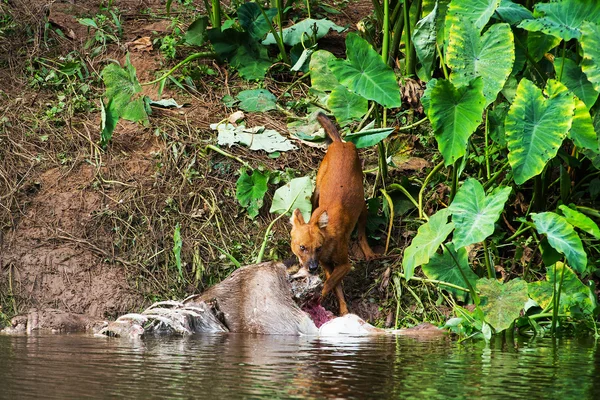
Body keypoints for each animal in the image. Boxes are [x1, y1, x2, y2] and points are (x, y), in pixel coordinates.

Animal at [290, 112, 376, 316]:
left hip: (362, 204)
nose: (312, 268)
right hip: (316, 190)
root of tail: (341, 143)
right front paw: (342, 308)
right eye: (302, 247)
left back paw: (368, 251)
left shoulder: (344, 264)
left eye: (318, 247)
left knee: (362, 229)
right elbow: (336, 286)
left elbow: (329, 283)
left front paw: (318, 298)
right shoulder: (327, 264)